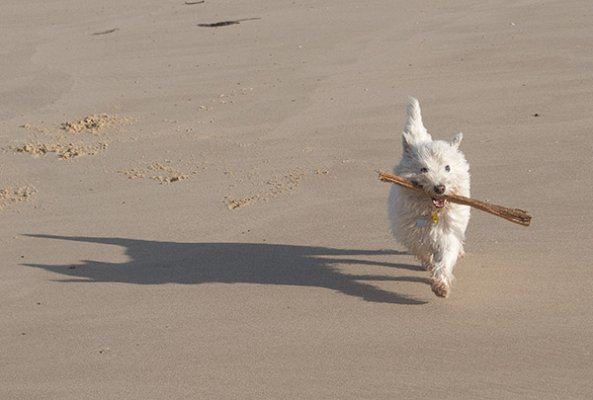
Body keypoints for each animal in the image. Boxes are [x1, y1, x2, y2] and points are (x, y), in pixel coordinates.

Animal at [388, 97, 472, 296]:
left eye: (447, 167)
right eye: (423, 169)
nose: (440, 188)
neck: (431, 210)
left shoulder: (448, 232)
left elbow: (446, 256)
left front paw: (440, 284)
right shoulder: (410, 233)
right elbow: (422, 251)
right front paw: (429, 266)